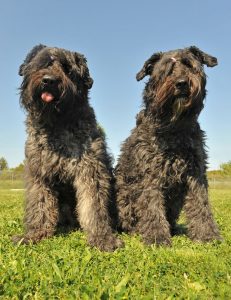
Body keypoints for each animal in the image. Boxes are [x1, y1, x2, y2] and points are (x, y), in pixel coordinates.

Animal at [115, 45, 222, 245]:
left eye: (189, 65)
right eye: (166, 69)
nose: (181, 83)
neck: (174, 128)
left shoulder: (195, 172)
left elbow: (201, 204)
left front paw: (207, 235)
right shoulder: (150, 173)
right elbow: (151, 206)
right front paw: (157, 237)